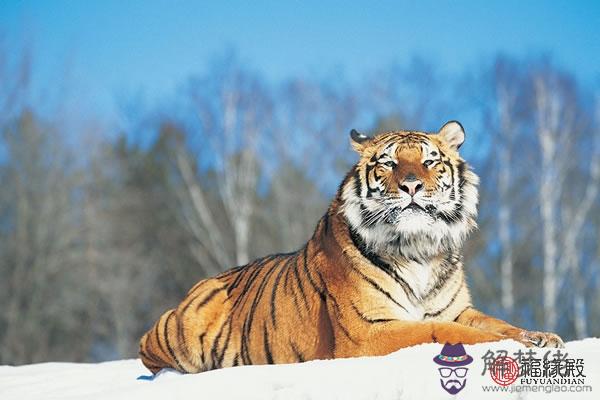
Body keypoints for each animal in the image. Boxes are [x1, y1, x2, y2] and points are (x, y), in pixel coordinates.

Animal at [139, 120, 564, 374]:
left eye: (430, 162)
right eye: (388, 164)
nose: (412, 185)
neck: (418, 249)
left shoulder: (458, 310)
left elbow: (493, 322)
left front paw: (541, 336)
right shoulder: (370, 331)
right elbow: (442, 332)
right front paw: (511, 344)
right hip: (179, 329)